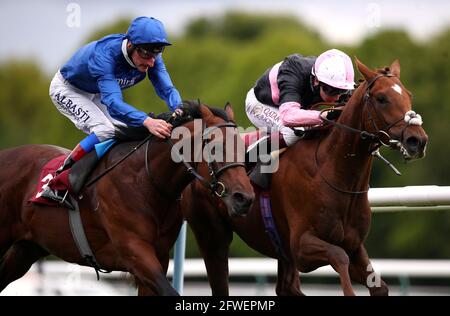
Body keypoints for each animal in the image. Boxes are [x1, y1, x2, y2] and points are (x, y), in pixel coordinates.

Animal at [0, 102, 253, 296]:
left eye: (243, 147)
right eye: (216, 147)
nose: (245, 198)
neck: (146, 180)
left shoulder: (158, 258)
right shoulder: (135, 252)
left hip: (27, 248)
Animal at [180, 59, 428, 296]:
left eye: (409, 95)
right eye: (381, 98)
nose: (417, 140)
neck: (334, 173)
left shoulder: (355, 246)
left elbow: (379, 286)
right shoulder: (302, 248)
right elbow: (339, 256)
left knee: (286, 289)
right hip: (213, 237)